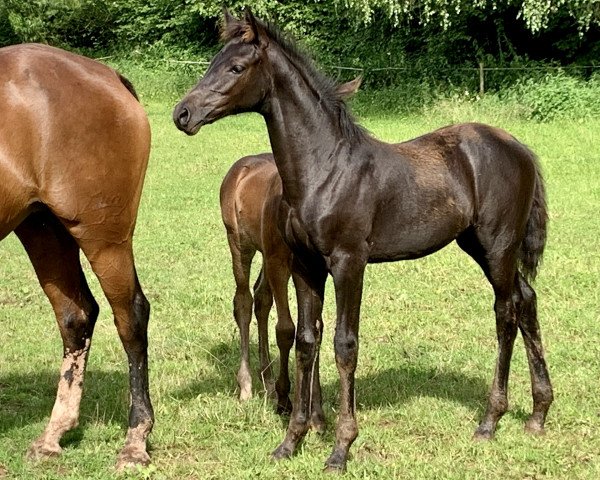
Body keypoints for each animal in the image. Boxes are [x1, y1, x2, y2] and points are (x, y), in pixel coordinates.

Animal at [0, 44, 154, 468]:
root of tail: (107, 76)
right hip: (43, 228)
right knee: (76, 316)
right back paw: (54, 433)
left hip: (104, 238)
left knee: (131, 316)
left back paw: (135, 441)